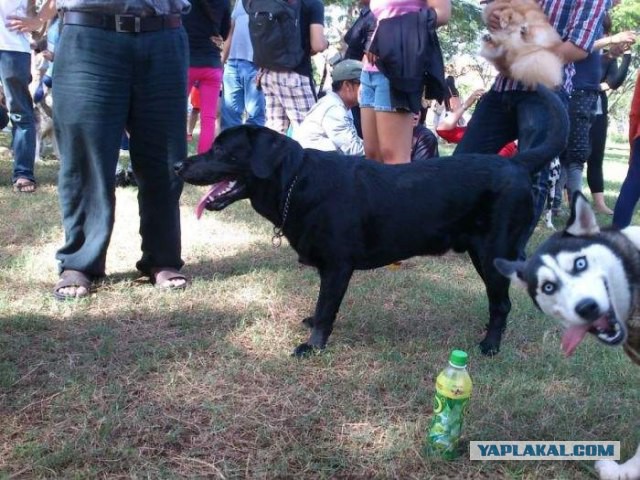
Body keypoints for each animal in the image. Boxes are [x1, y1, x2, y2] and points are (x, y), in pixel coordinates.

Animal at [175, 87, 564, 356]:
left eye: (222, 150)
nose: (178, 164)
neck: (297, 182)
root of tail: (515, 162)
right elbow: (320, 307)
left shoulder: (337, 266)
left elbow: (326, 308)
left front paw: (313, 345)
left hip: (492, 252)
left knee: (502, 304)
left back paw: (490, 345)